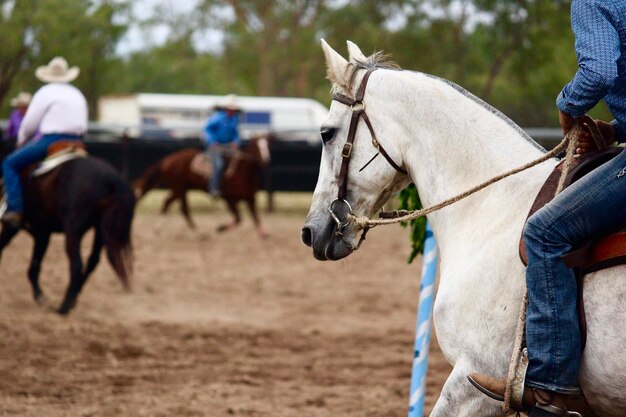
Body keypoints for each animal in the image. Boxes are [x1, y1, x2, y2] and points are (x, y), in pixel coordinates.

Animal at [0, 154, 135, 314]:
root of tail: (112, 178)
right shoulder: (43, 233)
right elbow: (35, 265)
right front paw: (39, 295)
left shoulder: (15, 228)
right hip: (102, 229)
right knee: (92, 261)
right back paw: (73, 298)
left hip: (73, 231)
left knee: (76, 263)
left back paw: (63, 307)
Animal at [134, 134, 270, 237]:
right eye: (256, 147)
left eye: (269, 145)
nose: (266, 161)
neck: (242, 172)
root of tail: (167, 160)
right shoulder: (229, 199)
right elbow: (238, 219)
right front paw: (220, 228)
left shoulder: (251, 199)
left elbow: (256, 217)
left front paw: (263, 233)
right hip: (179, 188)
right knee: (184, 208)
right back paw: (198, 231)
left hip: (179, 188)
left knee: (167, 202)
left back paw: (157, 229)